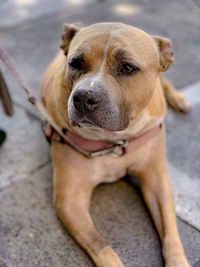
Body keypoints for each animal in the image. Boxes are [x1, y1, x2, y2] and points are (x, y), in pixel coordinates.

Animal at [41, 23, 191, 267]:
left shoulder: (157, 181)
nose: (84, 97)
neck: (114, 141)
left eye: (128, 67)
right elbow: (102, 247)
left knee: (164, 81)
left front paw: (178, 261)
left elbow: (171, 232)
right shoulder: (70, 200)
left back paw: (178, 98)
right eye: (75, 63)